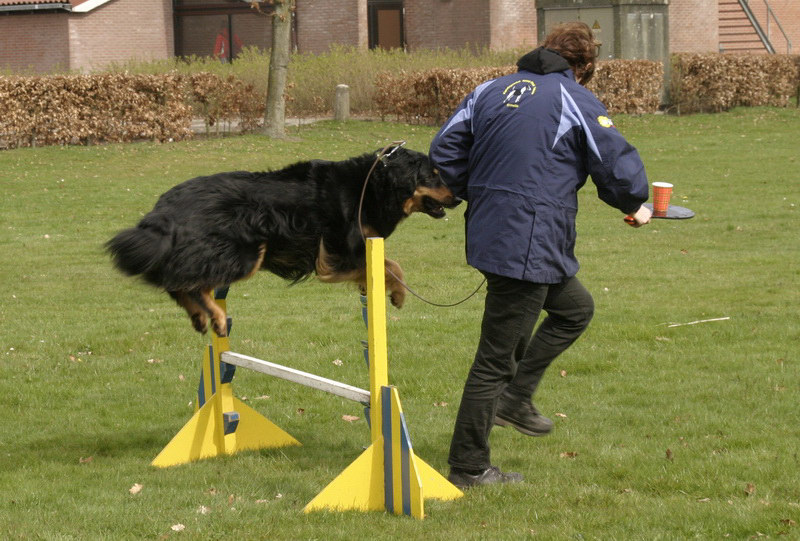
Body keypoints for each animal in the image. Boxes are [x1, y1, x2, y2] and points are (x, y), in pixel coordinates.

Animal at [106, 146, 460, 336]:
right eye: (433, 175)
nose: (458, 198)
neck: (374, 183)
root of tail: (165, 207)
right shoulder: (339, 255)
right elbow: (393, 266)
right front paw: (398, 294)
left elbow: (385, 267)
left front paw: (378, 289)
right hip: (247, 254)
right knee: (192, 284)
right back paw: (216, 317)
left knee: (176, 283)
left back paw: (198, 317)